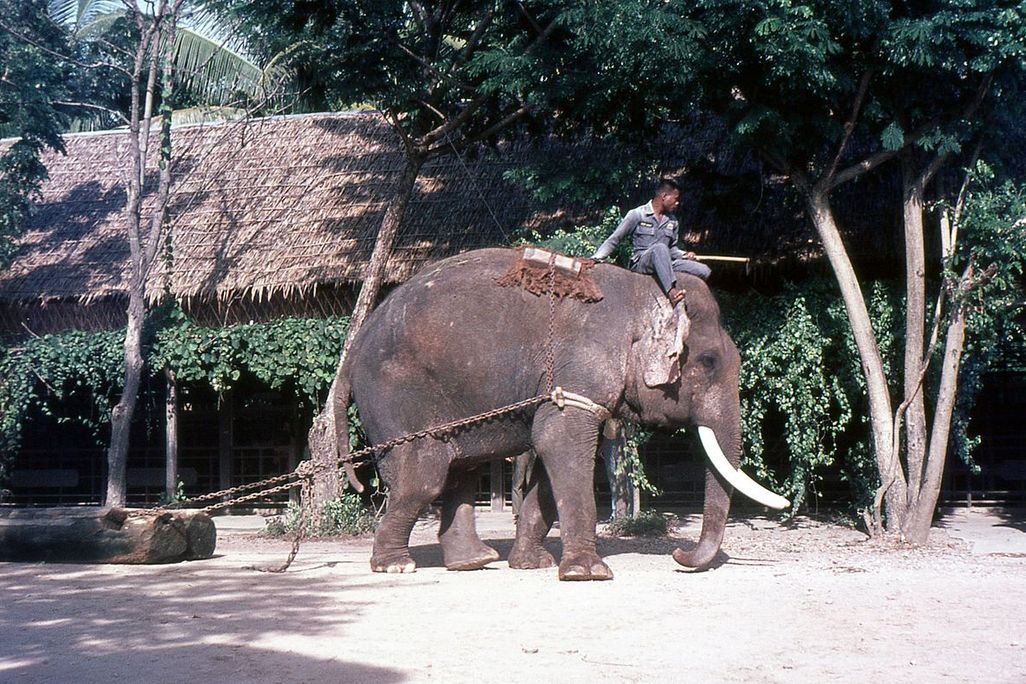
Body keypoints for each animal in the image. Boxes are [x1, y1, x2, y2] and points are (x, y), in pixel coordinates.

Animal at [335, 247, 788, 580]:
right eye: (709, 362)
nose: (680, 553)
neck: (643, 292)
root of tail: (353, 350)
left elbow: (548, 465)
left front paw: (533, 565)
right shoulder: (579, 369)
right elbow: (562, 445)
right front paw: (588, 573)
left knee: (460, 469)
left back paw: (474, 562)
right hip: (395, 396)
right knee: (425, 474)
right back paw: (397, 565)